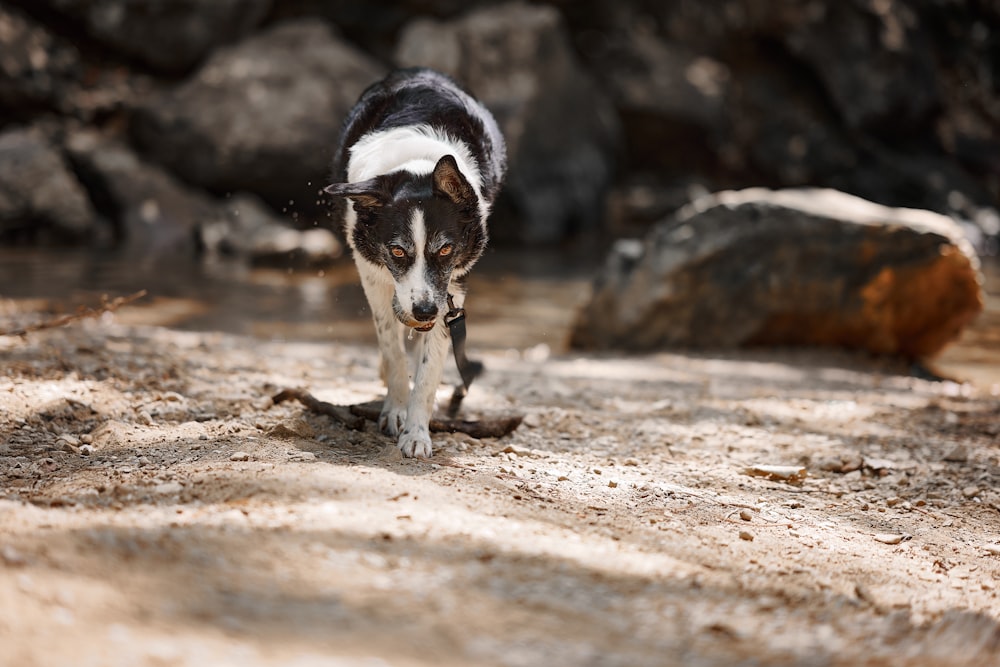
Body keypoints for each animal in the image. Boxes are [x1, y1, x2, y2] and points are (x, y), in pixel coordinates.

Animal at [324, 69, 504, 460]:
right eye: (397, 252)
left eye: (446, 249)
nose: (423, 311)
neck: (419, 165)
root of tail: (420, 72)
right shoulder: (372, 273)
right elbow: (393, 350)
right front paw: (395, 409)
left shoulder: (452, 286)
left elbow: (429, 367)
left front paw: (417, 432)